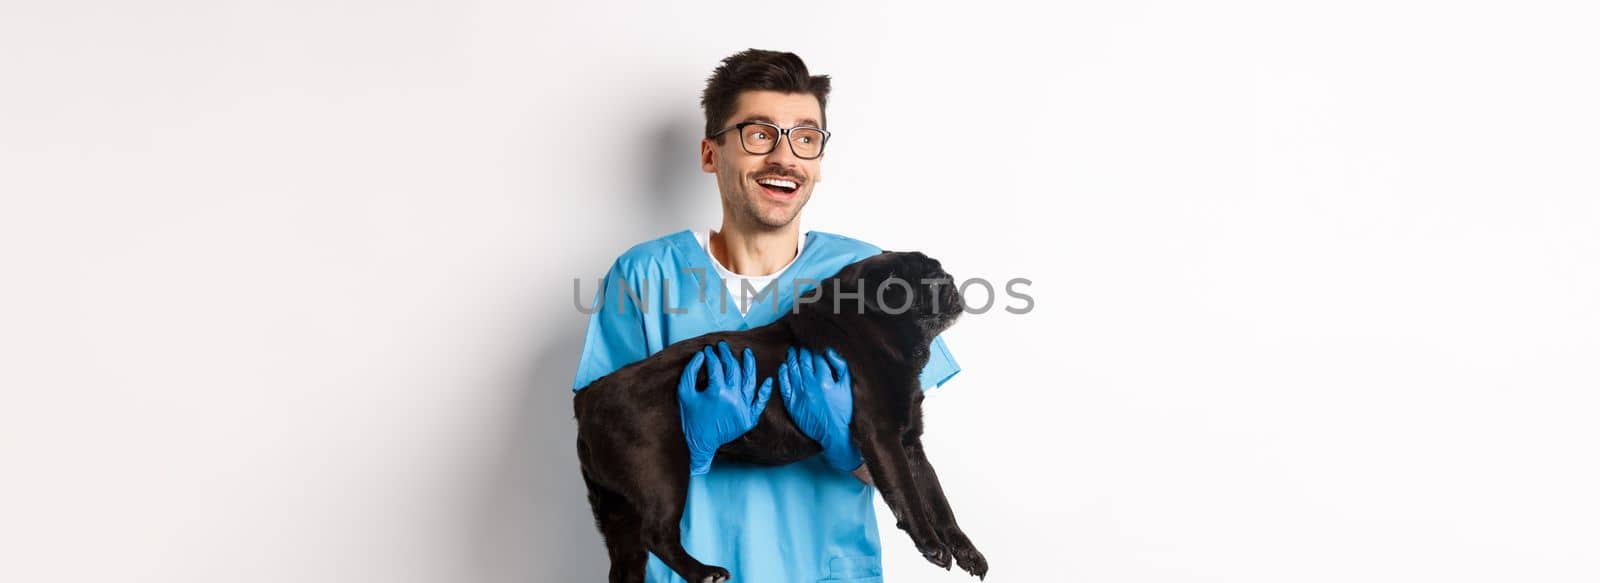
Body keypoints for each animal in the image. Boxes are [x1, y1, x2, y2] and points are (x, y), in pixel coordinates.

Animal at [569, 249, 979, 583]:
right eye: (928, 277)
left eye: (939, 272)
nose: (949, 278)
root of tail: (588, 398)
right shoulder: (883, 438)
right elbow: (909, 495)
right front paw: (930, 544)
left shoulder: (910, 444)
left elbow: (937, 499)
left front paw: (965, 550)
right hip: (662, 474)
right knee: (658, 535)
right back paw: (704, 572)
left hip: (617, 510)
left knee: (626, 560)